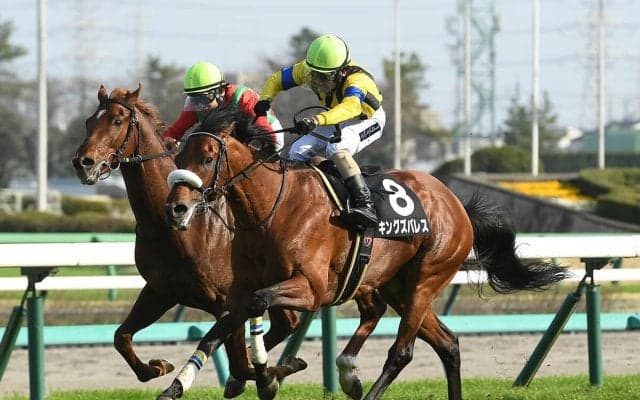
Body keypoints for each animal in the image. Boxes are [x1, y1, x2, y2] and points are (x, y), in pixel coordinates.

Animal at [71, 85, 303, 397]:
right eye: (88, 122)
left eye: (117, 120)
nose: (83, 163)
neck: (170, 227)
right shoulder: (161, 290)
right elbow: (122, 336)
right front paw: (158, 366)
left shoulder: (226, 300)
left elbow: (239, 361)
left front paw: (273, 373)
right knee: (285, 323)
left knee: (286, 323)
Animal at [162, 105, 568, 400]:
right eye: (180, 154)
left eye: (208, 156)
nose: (176, 208)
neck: (271, 209)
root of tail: (457, 204)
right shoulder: (242, 287)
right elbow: (216, 331)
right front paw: (177, 386)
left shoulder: (312, 289)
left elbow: (258, 305)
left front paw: (266, 377)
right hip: (397, 286)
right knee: (448, 343)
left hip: (427, 278)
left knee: (402, 352)